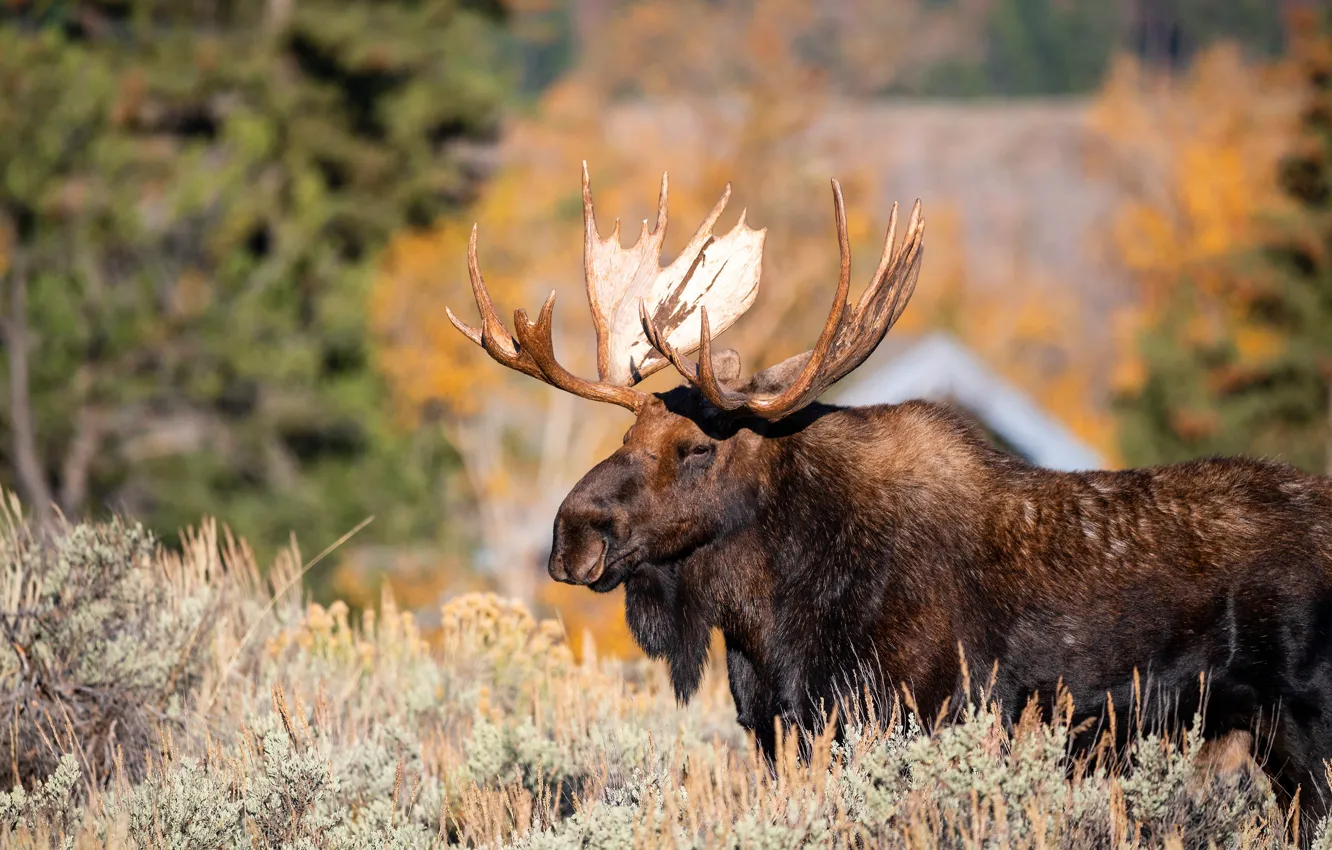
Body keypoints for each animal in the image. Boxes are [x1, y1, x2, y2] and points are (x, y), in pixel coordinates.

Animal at [447, 163, 1332, 829]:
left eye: (696, 449)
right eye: (626, 437)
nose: (571, 534)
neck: (770, 618)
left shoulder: (915, 716)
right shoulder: (782, 730)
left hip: (1307, 723)